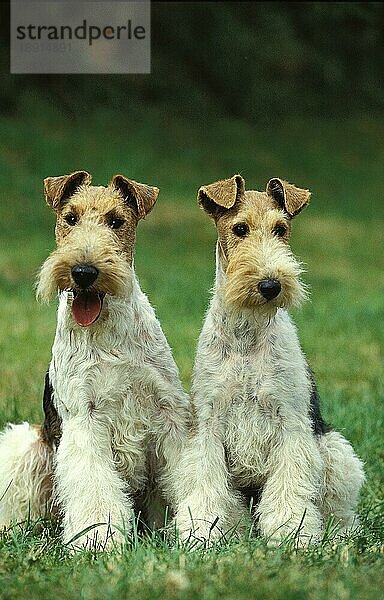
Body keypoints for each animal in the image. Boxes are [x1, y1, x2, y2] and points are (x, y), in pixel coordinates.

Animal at [0, 171, 189, 552]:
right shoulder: (84, 419)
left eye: (116, 221)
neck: (106, 329)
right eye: (70, 218)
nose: (84, 271)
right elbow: (94, 489)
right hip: (28, 445)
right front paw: (98, 540)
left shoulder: (168, 414)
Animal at [172, 173, 364, 544]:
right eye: (239, 228)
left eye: (281, 229)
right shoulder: (208, 425)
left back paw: (337, 537)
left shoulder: (291, 423)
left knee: (342, 512)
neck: (247, 331)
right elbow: (205, 484)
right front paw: (199, 533)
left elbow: (289, 490)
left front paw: (292, 535)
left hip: (335, 452)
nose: (270, 285)